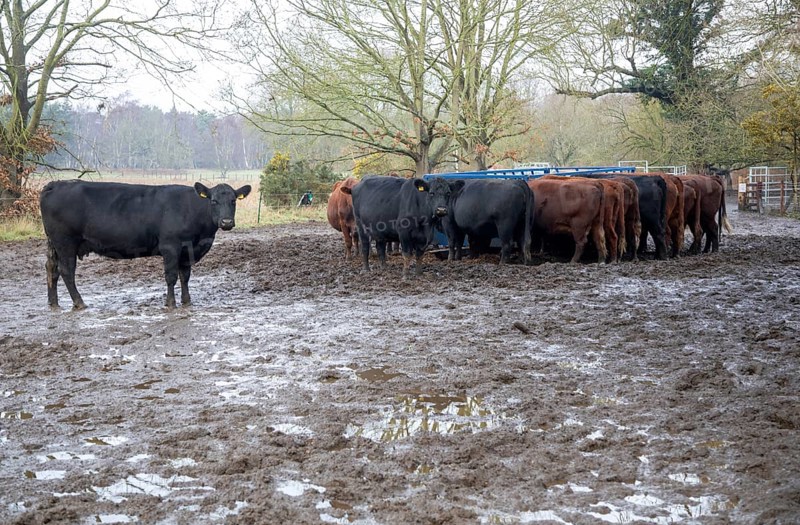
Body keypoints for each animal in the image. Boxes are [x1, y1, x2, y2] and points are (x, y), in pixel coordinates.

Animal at [40, 180, 251, 310]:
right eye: (213, 201)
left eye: (233, 201)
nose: (226, 222)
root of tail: (55, 184)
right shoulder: (170, 246)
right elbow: (171, 277)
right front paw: (170, 304)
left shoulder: (187, 250)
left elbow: (185, 277)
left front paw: (187, 301)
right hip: (65, 242)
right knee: (66, 271)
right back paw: (79, 303)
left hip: (54, 243)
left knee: (51, 269)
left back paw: (53, 303)